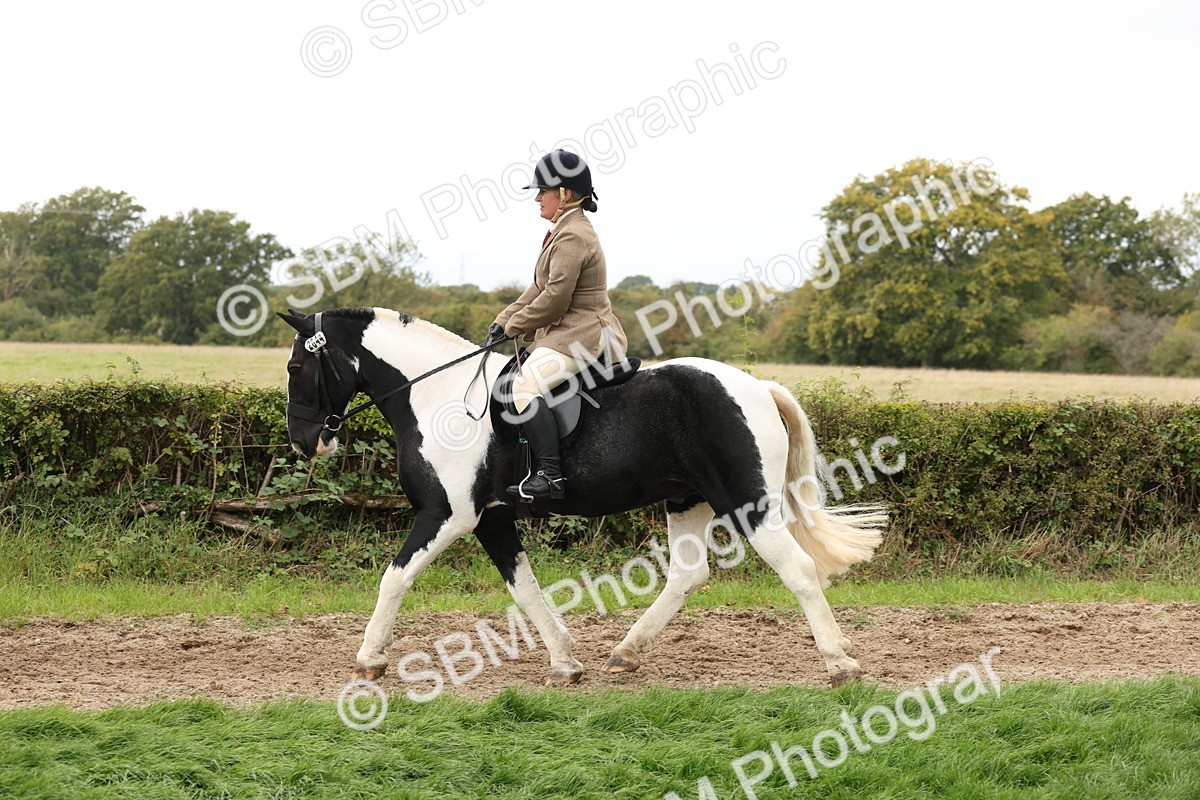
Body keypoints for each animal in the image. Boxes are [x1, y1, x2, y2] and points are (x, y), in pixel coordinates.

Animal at [278, 307, 887, 687]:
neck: (440, 396)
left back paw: (840, 664)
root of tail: (757, 387)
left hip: (748, 502)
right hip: (686, 500)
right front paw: (565, 662)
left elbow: (395, 578)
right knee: (687, 576)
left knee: (798, 569)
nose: (304, 441)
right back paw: (626, 653)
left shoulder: (448, 515)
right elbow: (524, 590)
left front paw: (369, 661)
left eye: (295, 365)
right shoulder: (491, 520)